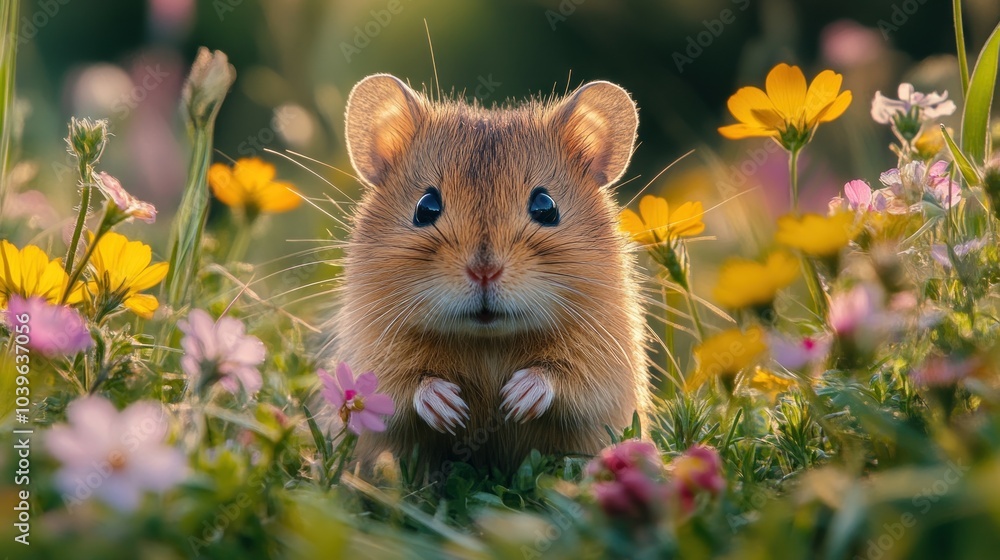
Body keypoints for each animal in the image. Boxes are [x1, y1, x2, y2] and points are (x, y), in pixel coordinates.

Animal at [331, 74, 649, 475]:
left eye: (546, 206)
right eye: (425, 207)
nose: (484, 272)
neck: (488, 341)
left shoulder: (603, 363)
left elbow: (559, 375)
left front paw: (514, 400)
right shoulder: (373, 352)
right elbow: (409, 384)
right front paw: (450, 409)